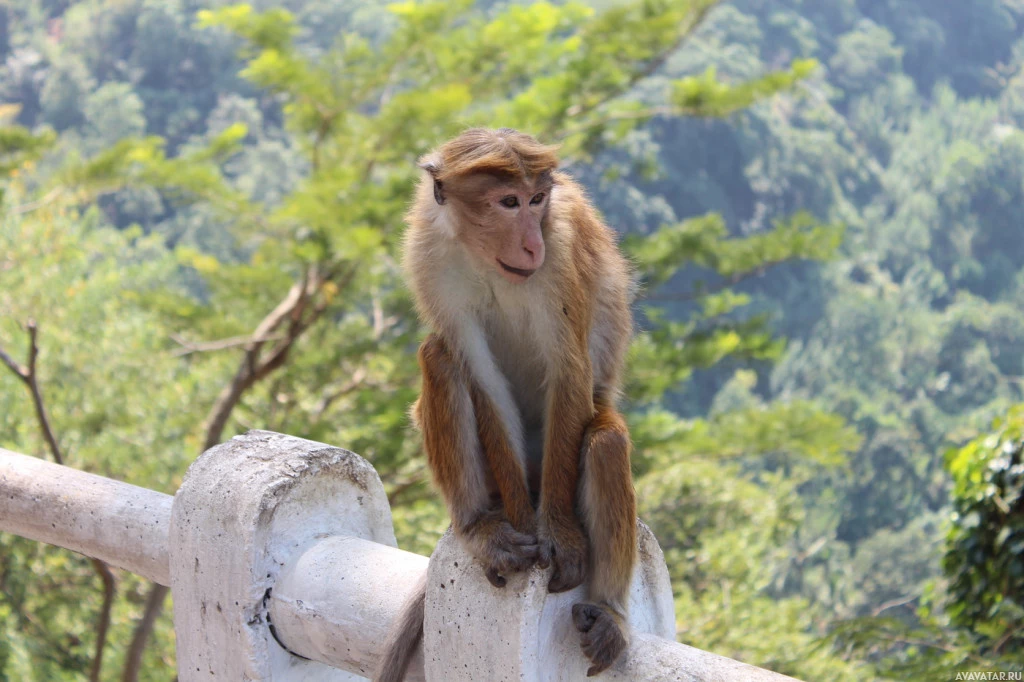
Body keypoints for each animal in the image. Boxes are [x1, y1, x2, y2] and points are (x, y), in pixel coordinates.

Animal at [372, 127, 634, 679]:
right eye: (508, 202)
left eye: (537, 201)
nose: (532, 242)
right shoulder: (428, 257)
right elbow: (480, 374)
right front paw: (518, 530)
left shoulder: (562, 247)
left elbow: (568, 368)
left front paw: (559, 536)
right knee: (440, 357)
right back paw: (479, 526)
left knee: (604, 443)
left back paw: (611, 615)